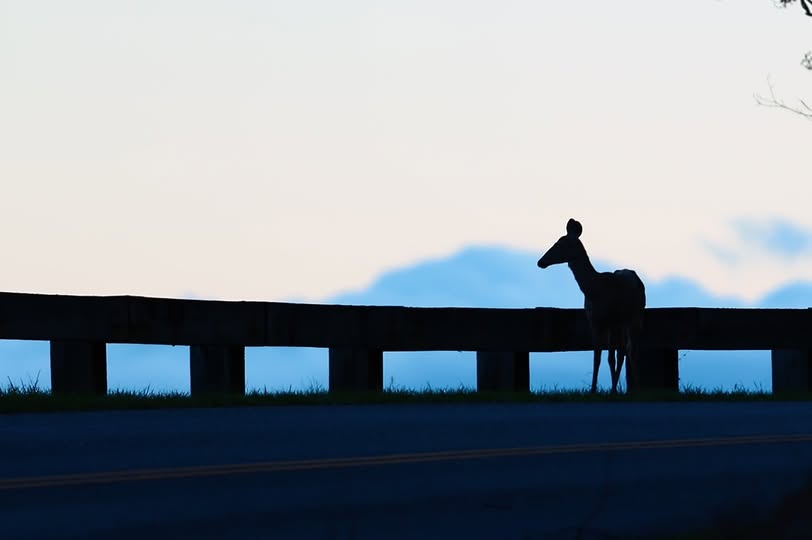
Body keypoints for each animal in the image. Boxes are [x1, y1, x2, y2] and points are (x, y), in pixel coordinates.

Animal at [537, 218, 646, 394]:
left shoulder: (609, 320)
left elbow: (606, 357)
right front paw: (595, 389)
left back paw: (637, 387)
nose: (541, 262)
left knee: (631, 349)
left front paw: (606, 390)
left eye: (560, 243)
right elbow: (597, 356)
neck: (594, 289)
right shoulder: (594, 320)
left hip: (636, 316)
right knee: (623, 350)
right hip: (621, 322)